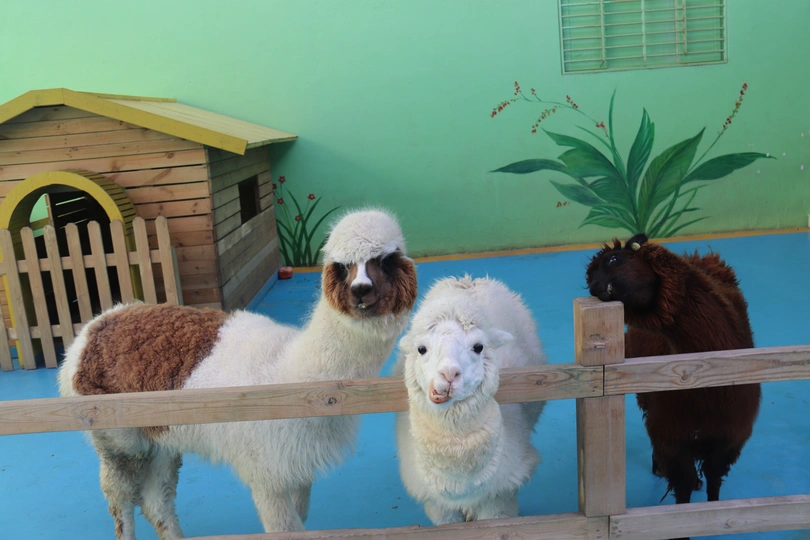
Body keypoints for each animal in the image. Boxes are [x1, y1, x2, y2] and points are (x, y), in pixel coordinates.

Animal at [57, 209, 418, 539]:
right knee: (119, 498)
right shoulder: (264, 470)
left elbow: (301, 518)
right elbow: (285, 529)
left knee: (156, 501)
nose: (360, 290)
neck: (288, 372)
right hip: (115, 435)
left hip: (160, 437)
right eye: (342, 266)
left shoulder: (295, 466)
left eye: (385, 260)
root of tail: (96, 324)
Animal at [394, 276, 546, 525]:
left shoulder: (499, 497)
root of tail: (468, 280)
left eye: (478, 347)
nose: (448, 375)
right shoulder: (438, 505)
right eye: (421, 349)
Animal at [586, 234, 761, 519]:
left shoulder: (729, 436)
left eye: (613, 259)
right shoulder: (672, 433)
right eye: (589, 278)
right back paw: (658, 467)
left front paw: (714, 510)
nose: (593, 288)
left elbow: (714, 480)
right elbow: (683, 489)